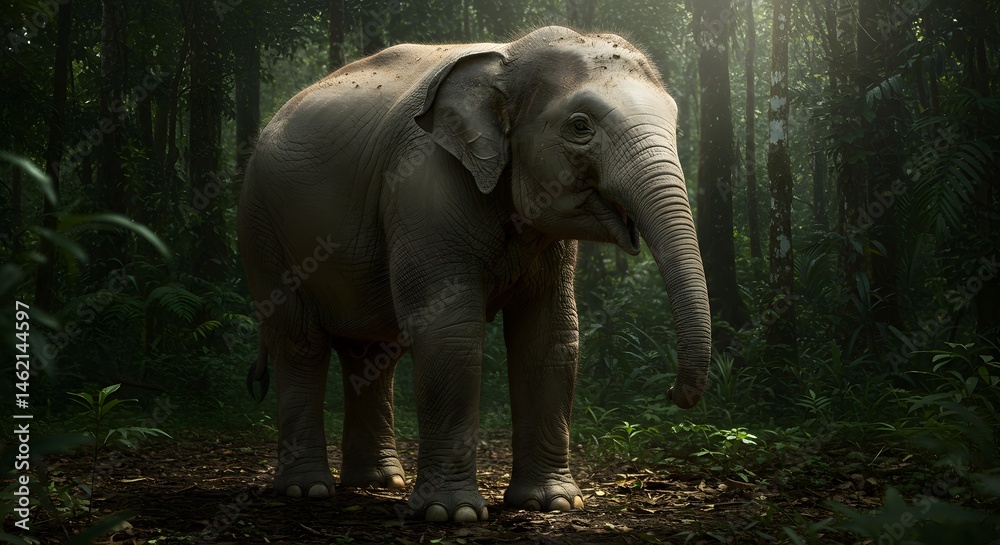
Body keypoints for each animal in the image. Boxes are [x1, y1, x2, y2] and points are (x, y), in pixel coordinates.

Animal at [238, 25, 711, 523]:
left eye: (675, 122)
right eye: (580, 126)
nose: (675, 392)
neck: (509, 57)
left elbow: (550, 336)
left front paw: (554, 503)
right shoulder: (424, 187)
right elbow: (449, 332)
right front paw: (452, 515)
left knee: (371, 353)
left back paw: (378, 483)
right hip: (262, 228)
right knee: (300, 343)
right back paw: (307, 489)